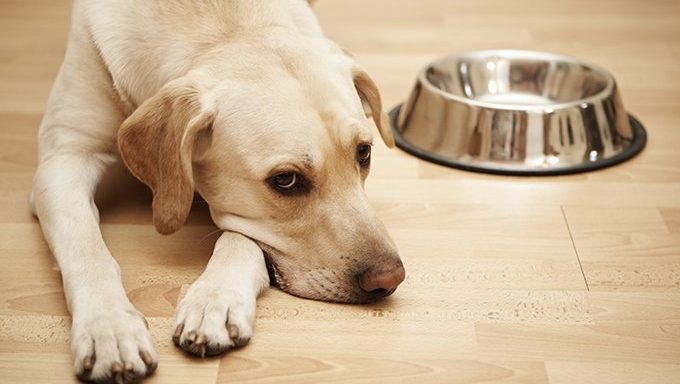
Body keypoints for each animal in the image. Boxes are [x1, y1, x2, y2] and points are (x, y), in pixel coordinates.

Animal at [30, 1, 404, 382]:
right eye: (286, 180)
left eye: (364, 153)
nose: (390, 278)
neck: (224, 27)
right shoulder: (64, 158)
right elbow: (87, 248)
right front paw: (109, 327)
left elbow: (240, 239)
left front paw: (215, 301)